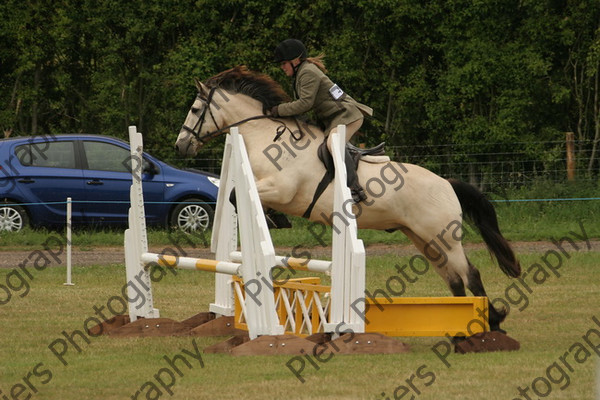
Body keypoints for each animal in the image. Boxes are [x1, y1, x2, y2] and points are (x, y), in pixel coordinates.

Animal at [173, 65, 520, 332]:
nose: (180, 146)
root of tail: (446, 183)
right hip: (424, 239)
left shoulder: (282, 189)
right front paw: (272, 217)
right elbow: (236, 196)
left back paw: (492, 323)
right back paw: (465, 319)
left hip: (443, 237)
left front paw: (272, 218)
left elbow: (237, 194)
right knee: (454, 278)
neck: (265, 136)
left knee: (469, 274)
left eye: (195, 110)